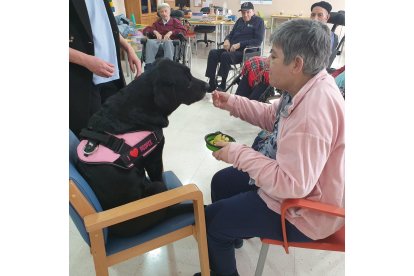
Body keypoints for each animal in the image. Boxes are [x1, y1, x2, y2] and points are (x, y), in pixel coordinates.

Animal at [76, 58, 207, 237]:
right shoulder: (154, 159)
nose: (208, 85)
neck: (138, 105)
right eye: (187, 80)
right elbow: (159, 176)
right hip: (156, 189)